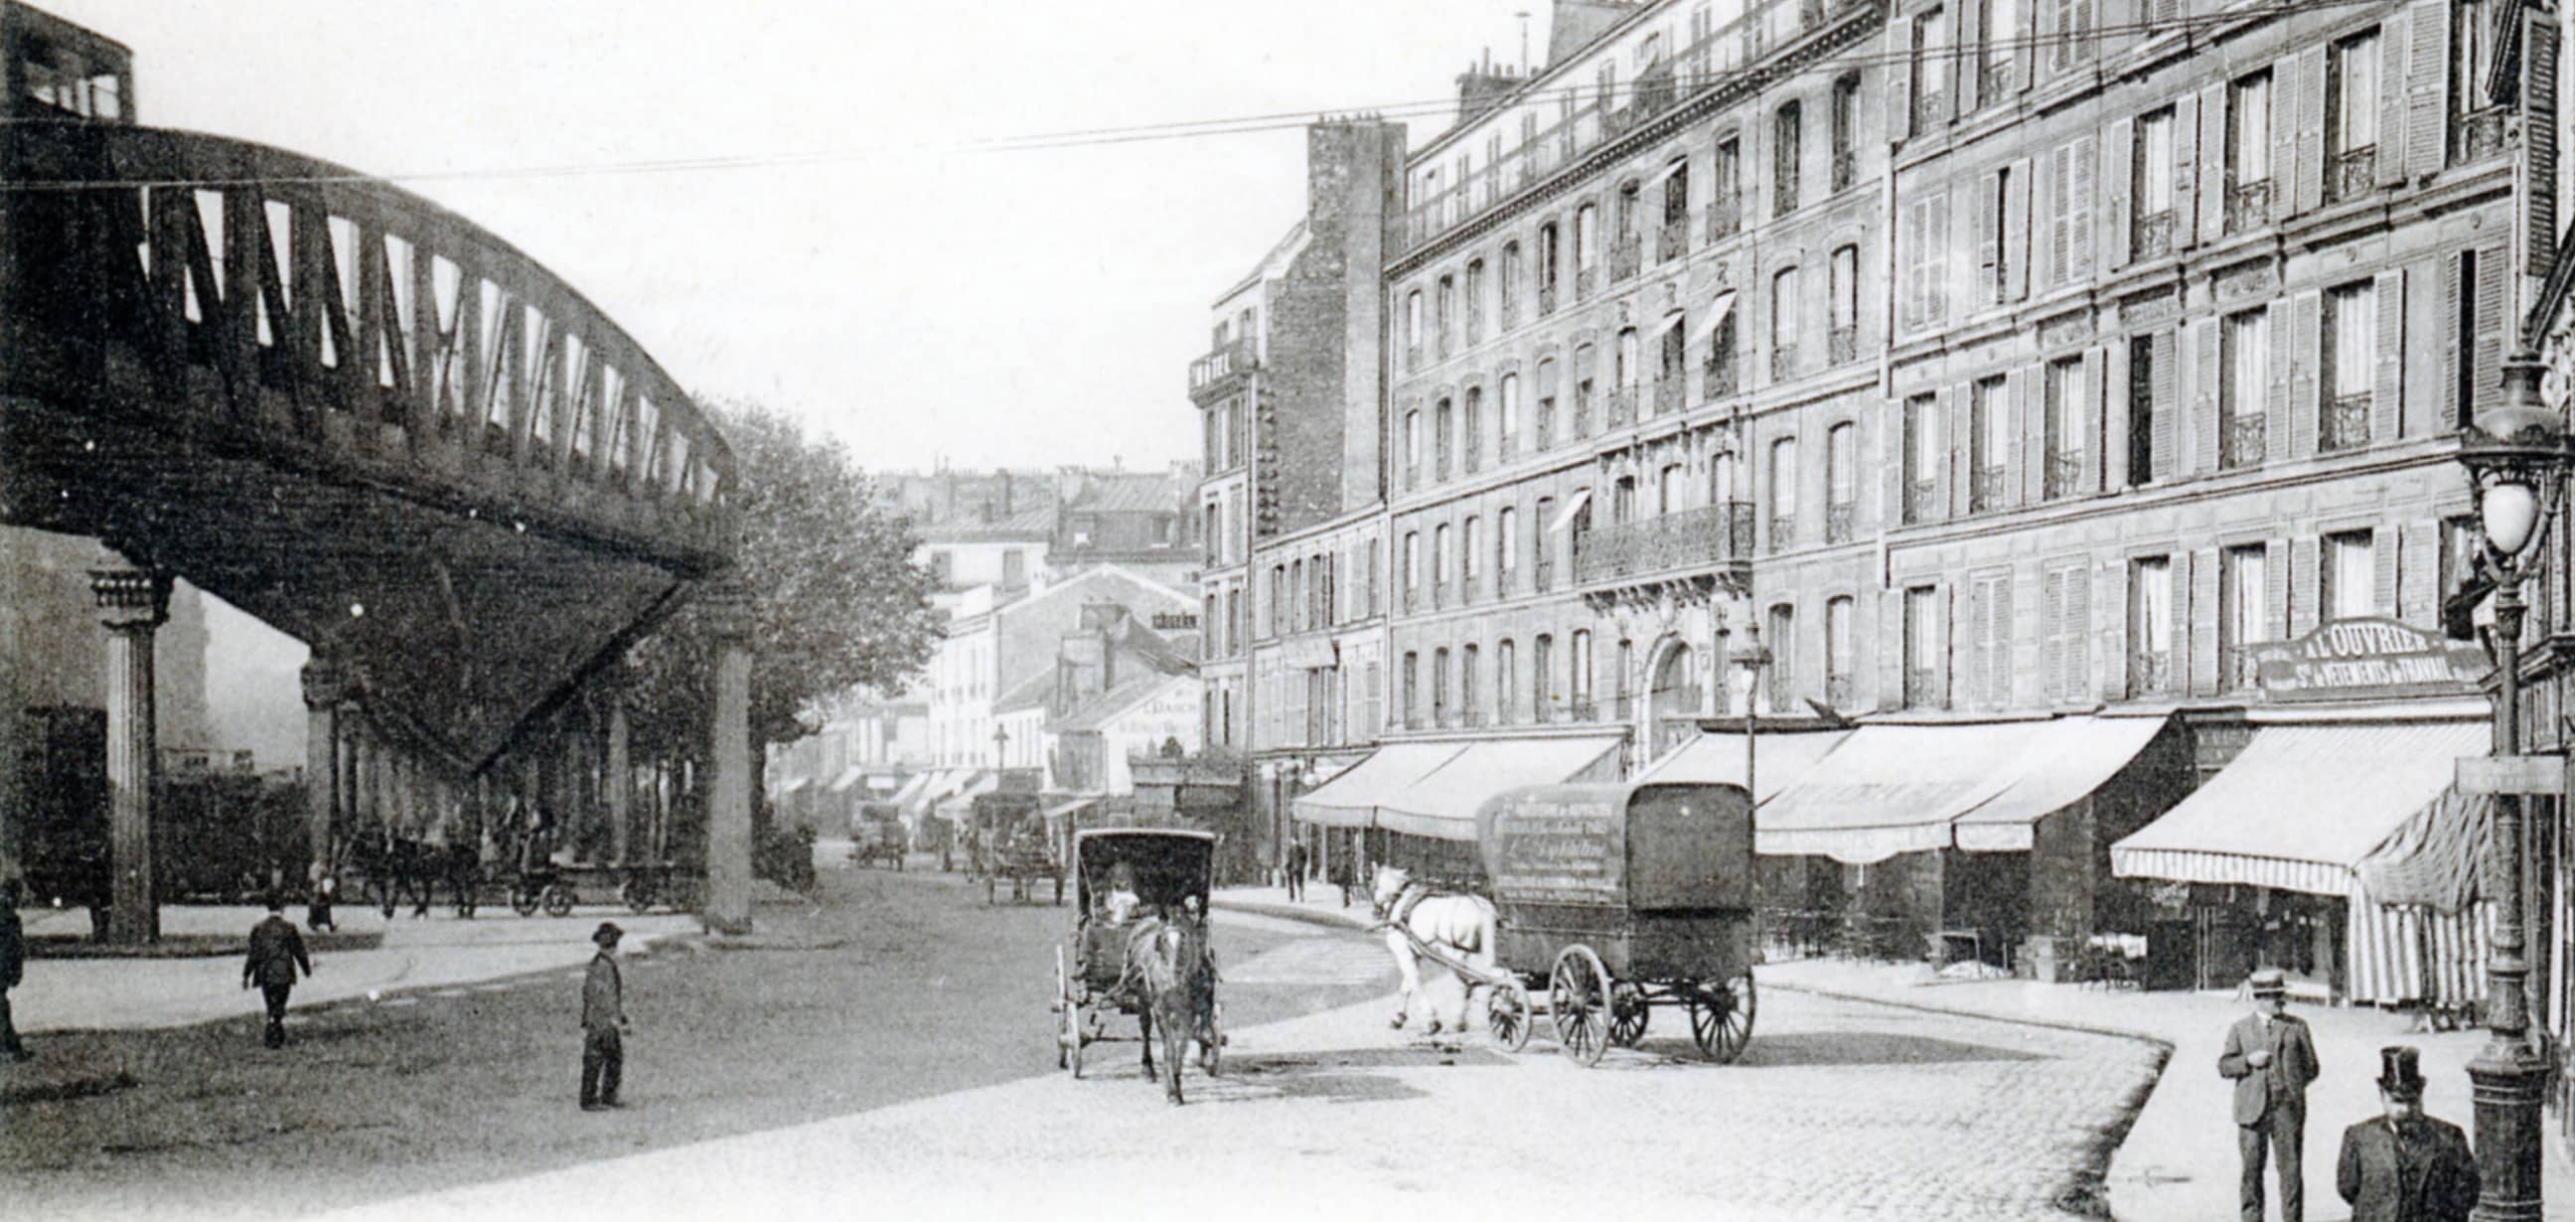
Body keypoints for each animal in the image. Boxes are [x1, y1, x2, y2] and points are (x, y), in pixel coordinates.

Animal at [1118, 907, 1215, 1108]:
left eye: (1185, 939)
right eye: (1162, 940)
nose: (1173, 985)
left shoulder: (1187, 1013)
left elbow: (1180, 1048)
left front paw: (1176, 1086)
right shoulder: (1161, 1009)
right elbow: (1169, 1048)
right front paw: (1171, 1091)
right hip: (1143, 998)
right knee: (1145, 1028)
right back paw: (1148, 1068)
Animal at [1380, 865, 1504, 1036]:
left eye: (1374, 884)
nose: (1376, 910)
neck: (1401, 902)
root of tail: (1483, 909)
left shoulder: (1404, 954)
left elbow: (1414, 983)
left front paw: (1431, 1022)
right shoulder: (1414, 955)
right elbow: (1407, 987)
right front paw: (1399, 1018)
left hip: (1454, 955)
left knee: (1464, 985)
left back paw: (1458, 1023)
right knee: (1479, 981)